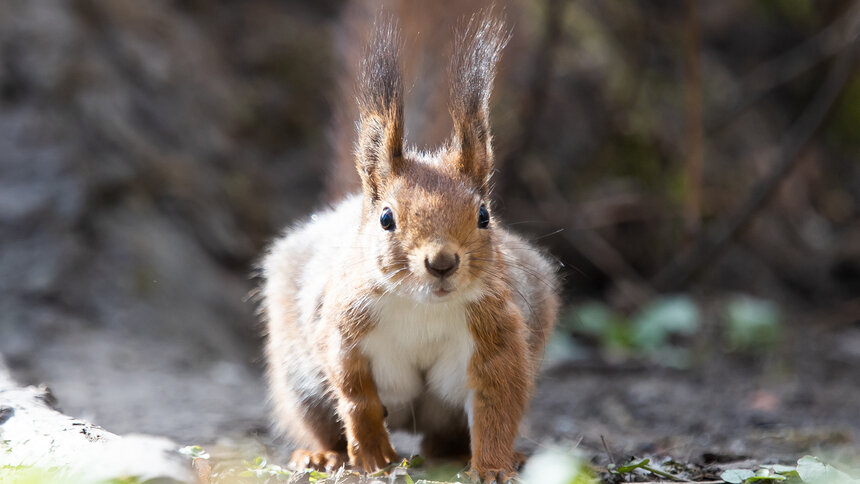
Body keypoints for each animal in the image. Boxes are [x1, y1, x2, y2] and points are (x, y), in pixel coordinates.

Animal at [258, 9, 560, 482]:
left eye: (484, 216)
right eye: (386, 219)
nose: (442, 262)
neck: (423, 305)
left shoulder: (499, 334)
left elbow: (498, 403)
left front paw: (494, 467)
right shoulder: (343, 326)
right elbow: (355, 395)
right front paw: (372, 456)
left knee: (447, 436)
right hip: (300, 382)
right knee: (319, 419)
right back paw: (322, 455)